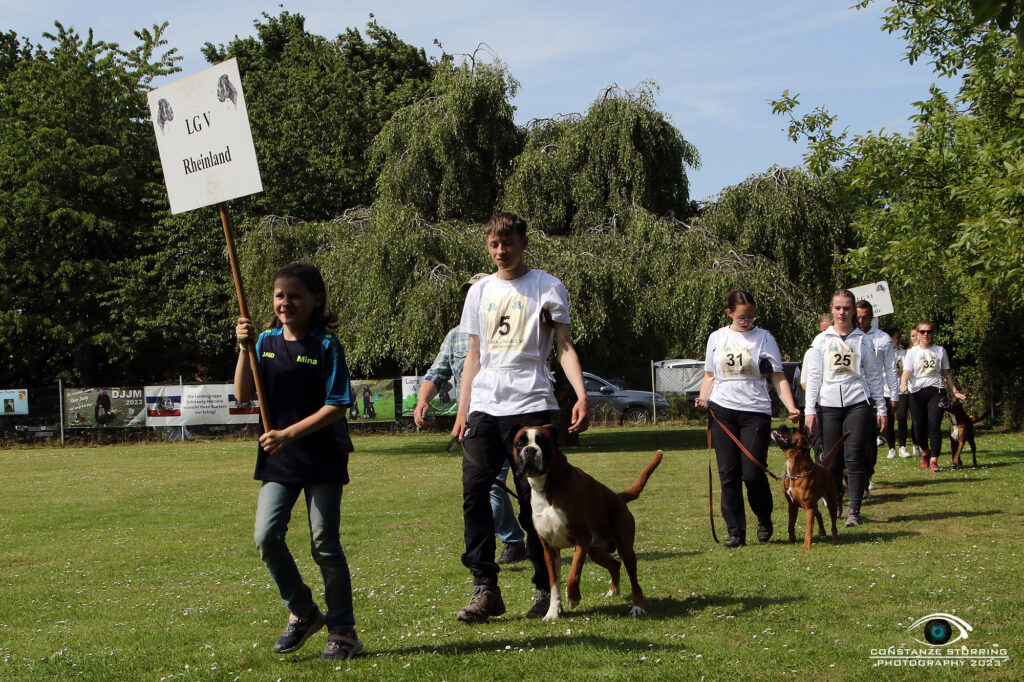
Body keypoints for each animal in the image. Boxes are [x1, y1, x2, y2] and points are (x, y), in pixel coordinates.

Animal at [507, 425, 659, 622]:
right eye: (520, 443)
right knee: (615, 565)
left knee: (634, 581)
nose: (530, 450)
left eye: (542, 442)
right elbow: (554, 585)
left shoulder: (581, 541)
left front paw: (573, 598)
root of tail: (618, 497)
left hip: (625, 549)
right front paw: (552, 612)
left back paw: (638, 607)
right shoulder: (550, 550)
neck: (549, 486)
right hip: (596, 552)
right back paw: (613, 591)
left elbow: (573, 574)